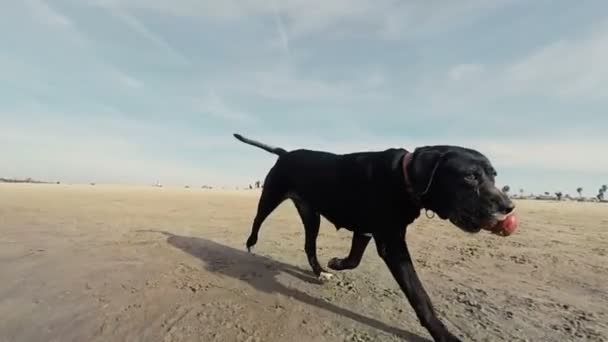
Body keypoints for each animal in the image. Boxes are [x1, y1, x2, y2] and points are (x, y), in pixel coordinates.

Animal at [233, 134, 512, 342]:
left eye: (494, 175)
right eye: (470, 176)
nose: (509, 207)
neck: (404, 176)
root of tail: (286, 152)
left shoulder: (366, 231)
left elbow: (354, 259)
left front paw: (336, 263)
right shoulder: (392, 243)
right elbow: (419, 295)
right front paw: (443, 334)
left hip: (311, 215)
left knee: (309, 245)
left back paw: (320, 271)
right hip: (271, 194)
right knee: (258, 220)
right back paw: (250, 244)